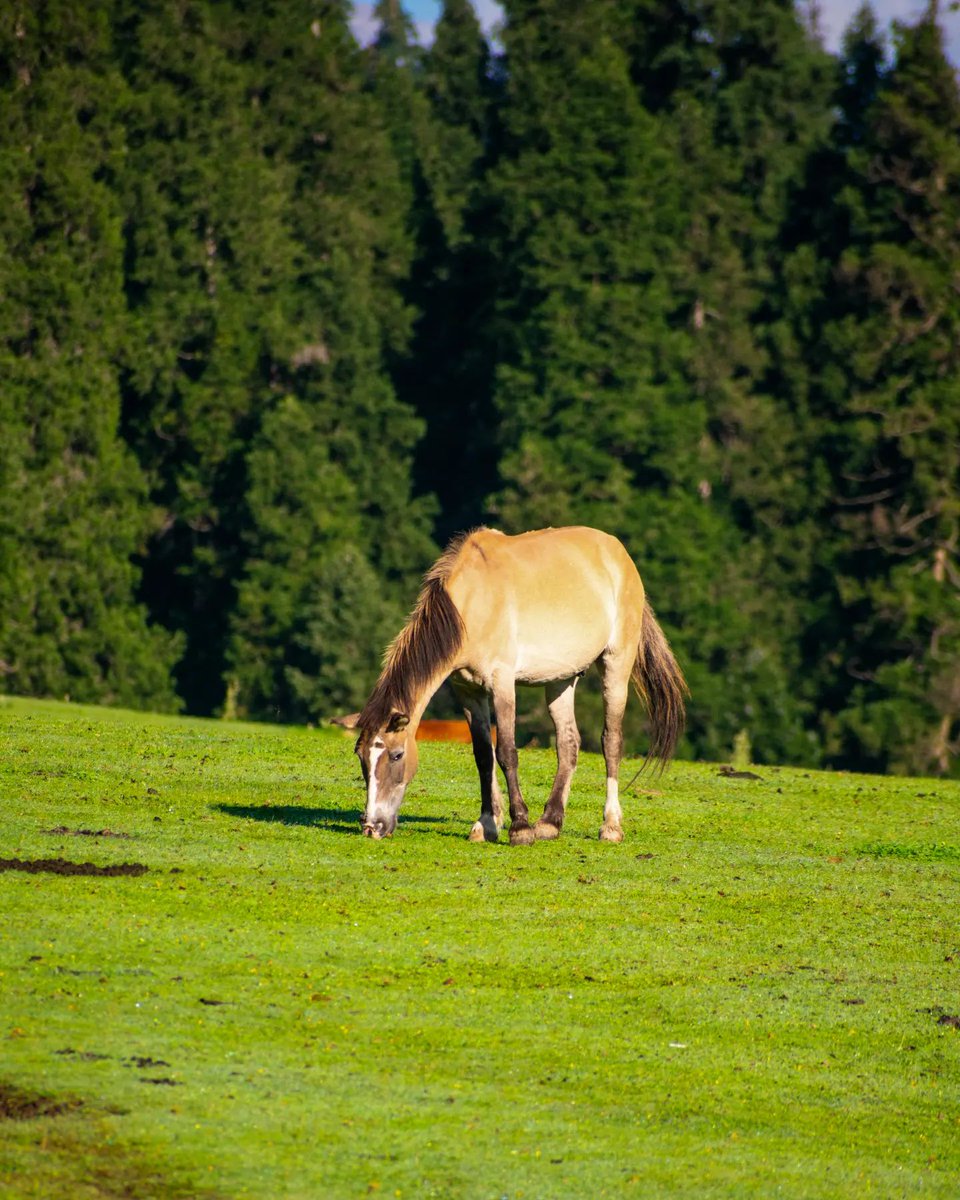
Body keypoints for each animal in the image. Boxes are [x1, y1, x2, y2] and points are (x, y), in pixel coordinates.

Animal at [340, 526, 687, 845]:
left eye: (397, 755)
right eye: (360, 756)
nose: (371, 826)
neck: (472, 603)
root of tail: (619, 554)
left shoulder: (502, 682)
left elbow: (506, 751)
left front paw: (520, 828)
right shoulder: (468, 691)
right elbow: (483, 755)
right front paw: (487, 824)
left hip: (616, 665)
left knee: (611, 742)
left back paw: (610, 826)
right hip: (561, 680)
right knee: (569, 744)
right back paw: (550, 822)